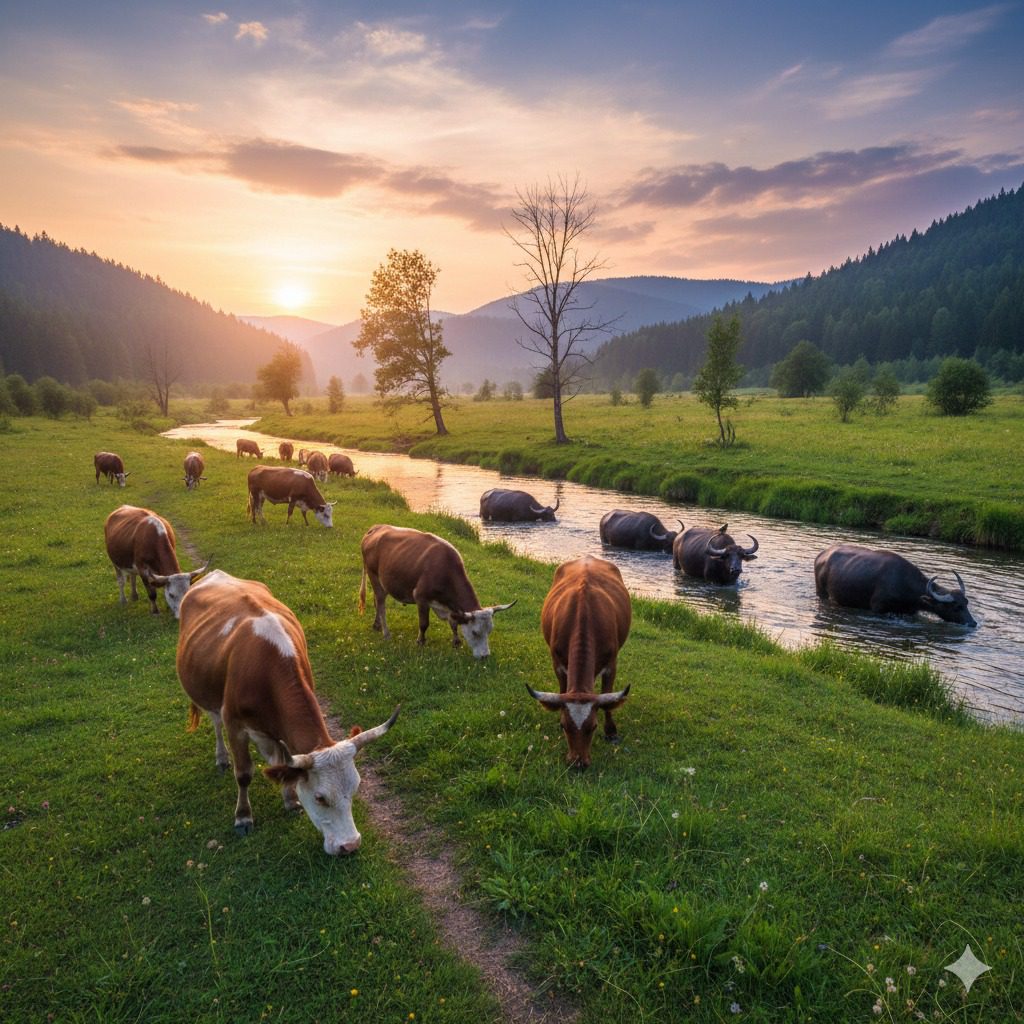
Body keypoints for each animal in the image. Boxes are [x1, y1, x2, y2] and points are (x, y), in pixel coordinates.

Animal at [176, 569, 400, 853]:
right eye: (320, 797)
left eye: (356, 788)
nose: (350, 845)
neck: (267, 665)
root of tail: (214, 574)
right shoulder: (235, 724)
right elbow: (244, 774)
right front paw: (243, 816)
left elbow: (282, 765)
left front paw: (291, 801)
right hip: (209, 697)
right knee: (215, 723)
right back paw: (222, 758)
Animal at [358, 524, 515, 657]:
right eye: (475, 632)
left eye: (490, 630)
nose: (485, 656)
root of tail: (376, 528)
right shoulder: (421, 597)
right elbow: (424, 623)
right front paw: (420, 642)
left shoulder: (450, 606)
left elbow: (453, 623)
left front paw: (456, 642)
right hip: (374, 575)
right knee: (381, 604)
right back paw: (386, 633)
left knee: (376, 601)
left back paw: (377, 625)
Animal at [526, 556, 631, 768]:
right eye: (564, 725)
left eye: (594, 726)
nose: (578, 763)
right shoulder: (557, 662)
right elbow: (562, 689)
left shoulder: (611, 664)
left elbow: (607, 698)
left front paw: (611, 731)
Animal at [814, 544, 977, 626]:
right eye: (956, 607)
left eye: (966, 603)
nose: (973, 623)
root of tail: (822, 555)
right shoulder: (877, 608)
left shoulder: (911, 612)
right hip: (821, 592)